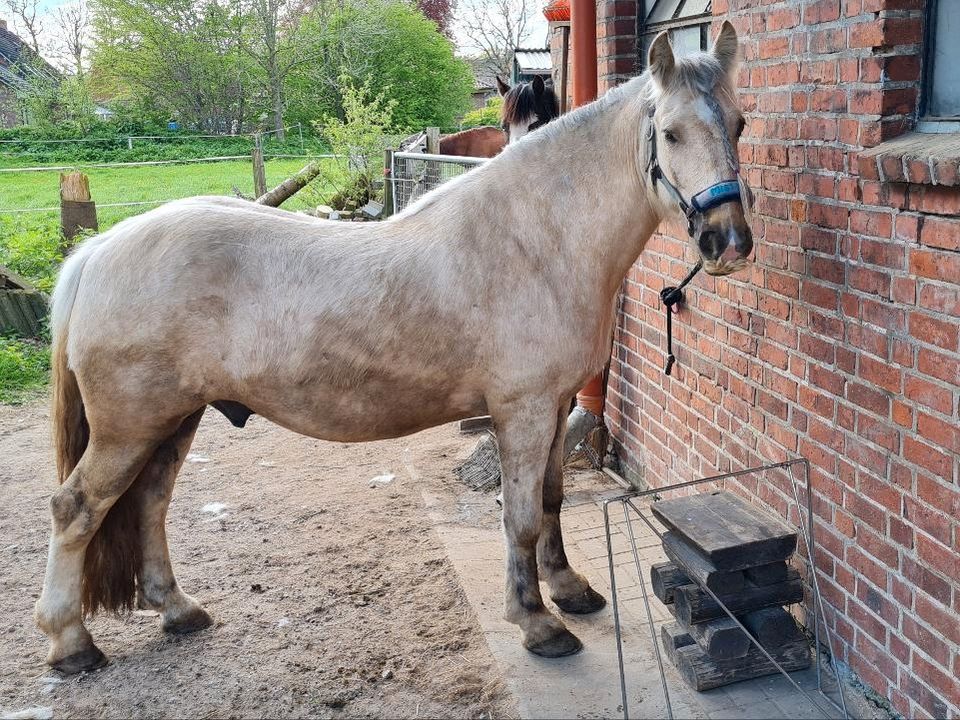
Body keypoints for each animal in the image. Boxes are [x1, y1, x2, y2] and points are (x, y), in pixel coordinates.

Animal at [35, 23, 752, 676]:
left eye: (741, 124)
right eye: (672, 133)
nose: (729, 241)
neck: (536, 238)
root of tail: (99, 251)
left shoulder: (553, 407)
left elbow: (550, 499)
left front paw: (570, 590)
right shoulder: (521, 410)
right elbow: (520, 516)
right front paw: (537, 623)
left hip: (173, 420)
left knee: (149, 504)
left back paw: (178, 610)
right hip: (130, 427)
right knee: (77, 509)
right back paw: (71, 644)